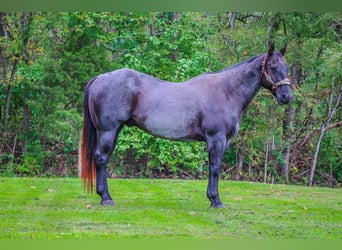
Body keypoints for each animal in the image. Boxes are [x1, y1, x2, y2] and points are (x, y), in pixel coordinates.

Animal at [80, 42, 292, 207]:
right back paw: (106, 198)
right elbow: (215, 167)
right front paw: (216, 200)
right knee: (101, 159)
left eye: (287, 67)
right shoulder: (217, 139)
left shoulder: (222, 141)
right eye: (272, 67)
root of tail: (99, 78)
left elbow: (212, 167)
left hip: (115, 131)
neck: (227, 91)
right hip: (107, 131)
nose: (286, 97)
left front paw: (211, 199)